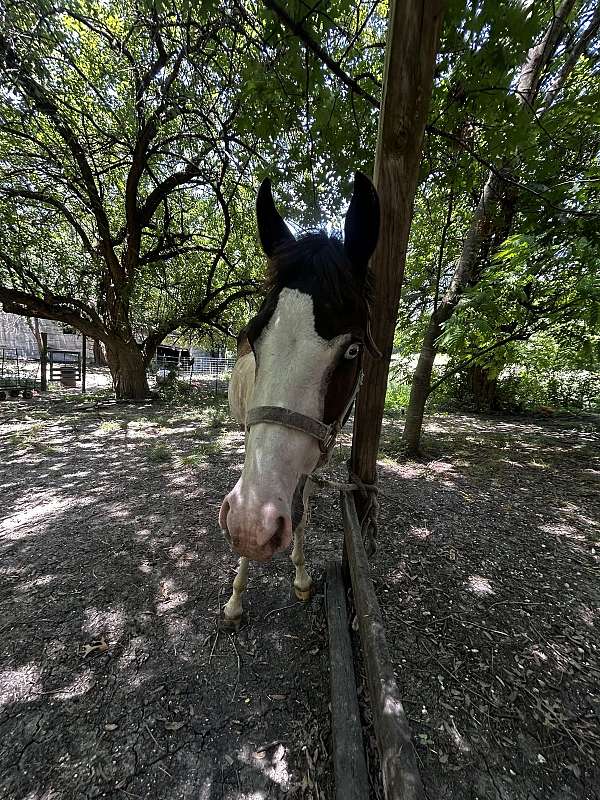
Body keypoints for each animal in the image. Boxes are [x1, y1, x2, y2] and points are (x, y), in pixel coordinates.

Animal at [219, 172, 380, 626]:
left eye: (353, 350)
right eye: (252, 336)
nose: (252, 525)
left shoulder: (311, 464)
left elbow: (303, 515)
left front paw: (302, 576)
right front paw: (235, 598)